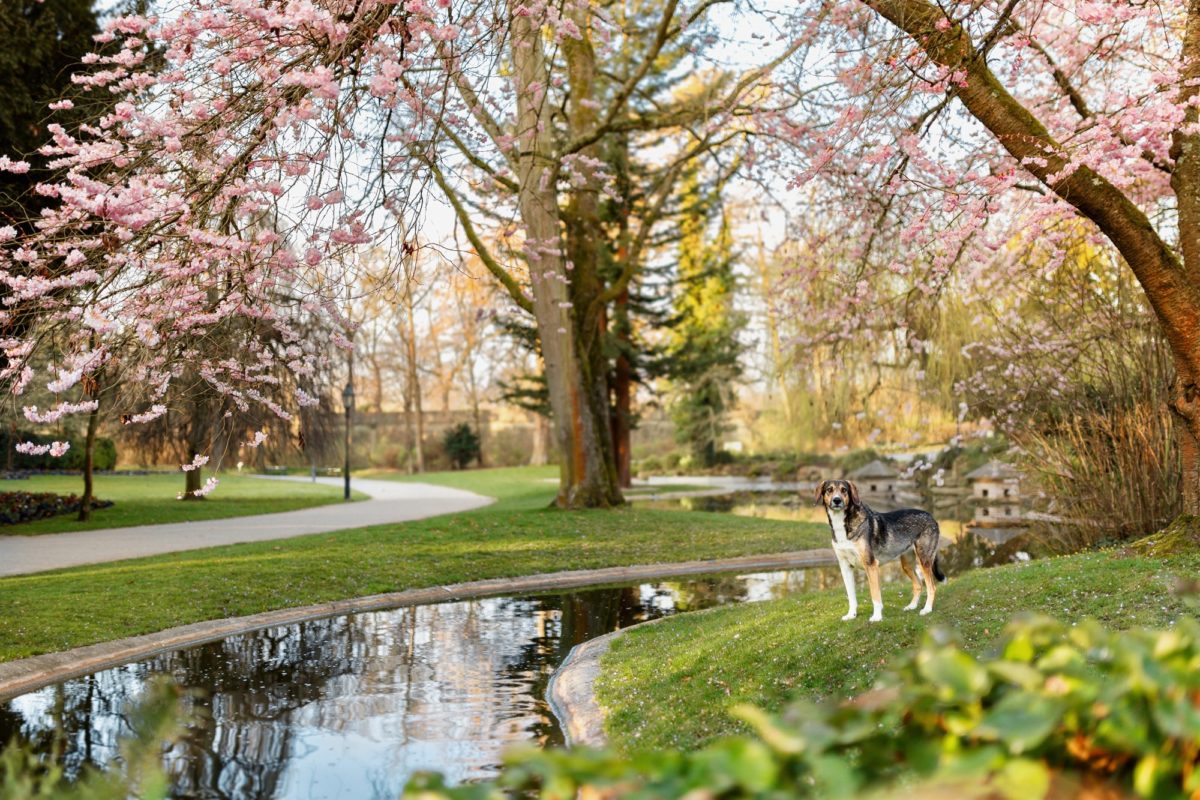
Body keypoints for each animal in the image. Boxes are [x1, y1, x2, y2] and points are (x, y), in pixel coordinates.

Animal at [816, 479, 945, 623]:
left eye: (844, 490)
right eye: (829, 490)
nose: (837, 500)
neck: (844, 525)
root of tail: (930, 516)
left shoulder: (871, 565)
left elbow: (875, 594)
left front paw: (877, 617)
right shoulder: (845, 567)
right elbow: (851, 596)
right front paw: (851, 615)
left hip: (924, 560)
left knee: (932, 587)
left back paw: (927, 609)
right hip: (907, 565)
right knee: (918, 585)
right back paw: (911, 606)